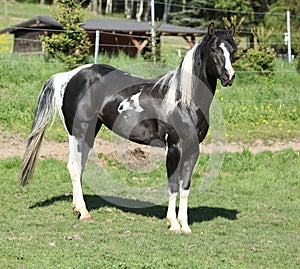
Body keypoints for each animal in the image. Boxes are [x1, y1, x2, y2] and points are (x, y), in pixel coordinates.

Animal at [21, 22, 237, 232]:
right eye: (214, 49)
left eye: (232, 50)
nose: (229, 76)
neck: (183, 100)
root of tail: (69, 76)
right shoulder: (174, 147)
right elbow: (173, 185)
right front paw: (173, 224)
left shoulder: (193, 149)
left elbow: (185, 187)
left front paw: (185, 225)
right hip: (78, 133)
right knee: (74, 167)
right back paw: (84, 213)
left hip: (90, 133)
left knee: (80, 167)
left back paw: (77, 207)